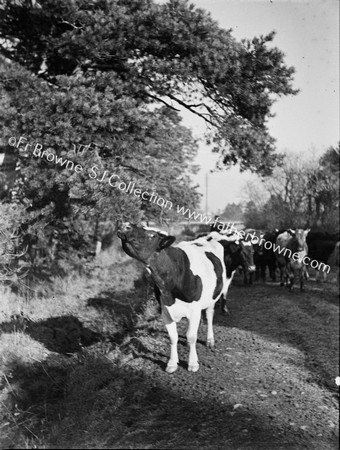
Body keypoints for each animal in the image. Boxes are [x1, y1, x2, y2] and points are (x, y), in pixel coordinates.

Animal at [117, 221, 255, 372]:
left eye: (152, 235)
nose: (126, 225)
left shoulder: (194, 310)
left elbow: (192, 336)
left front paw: (193, 363)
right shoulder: (165, 310)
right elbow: (173, 337)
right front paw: (172, 363)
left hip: (212, 297)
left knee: (209, 315)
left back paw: (210, 340)